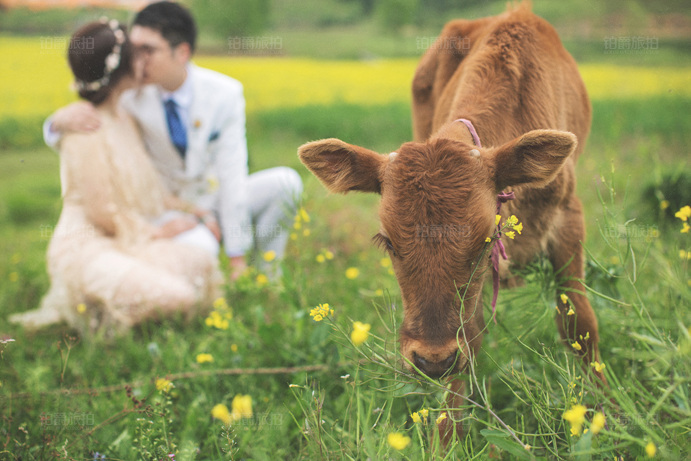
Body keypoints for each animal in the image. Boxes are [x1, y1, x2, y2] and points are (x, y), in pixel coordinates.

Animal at [300, 3, 604, 440]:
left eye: (485, 239)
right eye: (388, 242)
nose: (431, 359)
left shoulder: (569, 219)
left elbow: (579, 322)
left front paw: (606, 410)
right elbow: (468, 349)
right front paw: (448, 441)